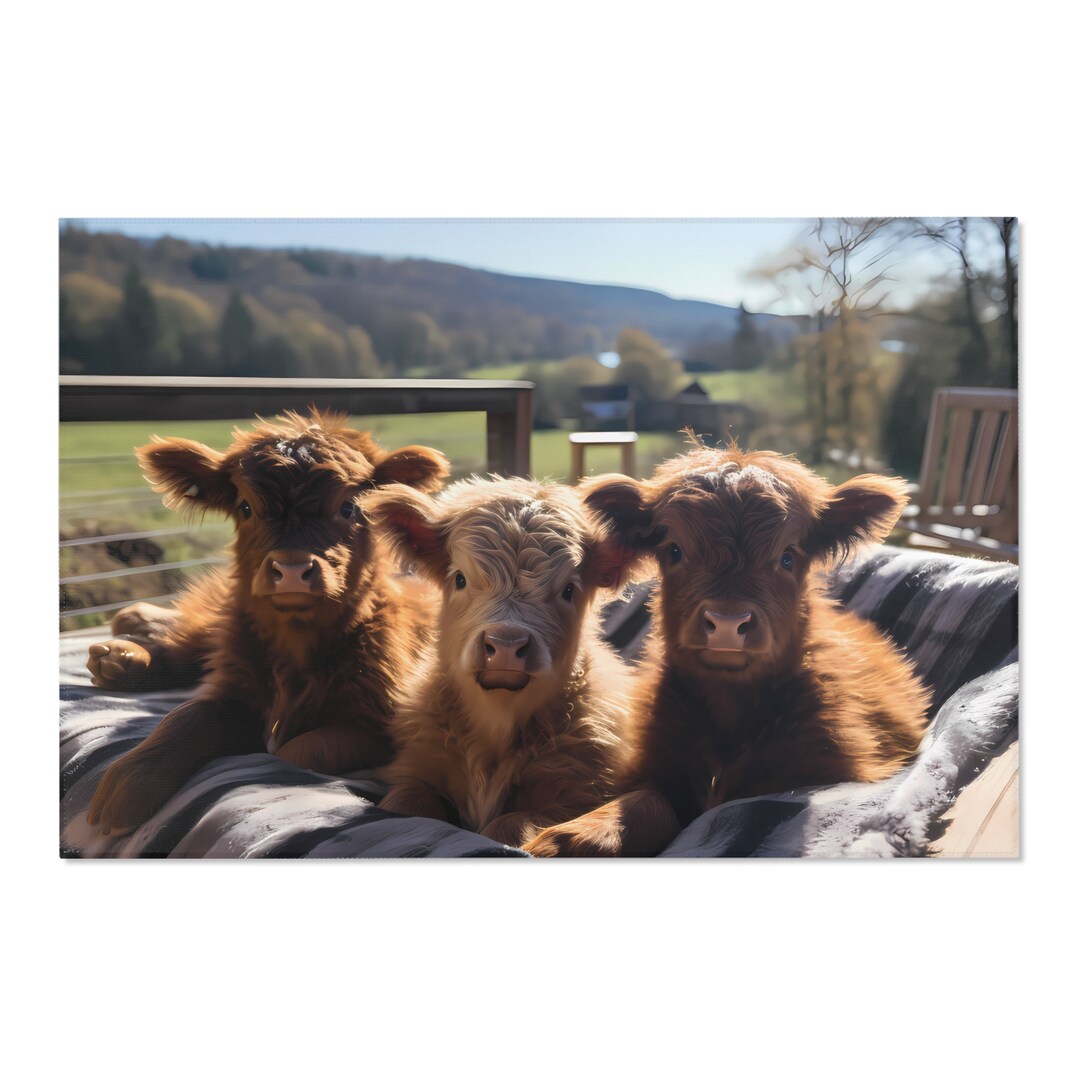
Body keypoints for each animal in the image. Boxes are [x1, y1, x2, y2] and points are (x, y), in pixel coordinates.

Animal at [85, 409, 450, 835]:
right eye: (245, 507)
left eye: (348, 508)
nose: (291, 570)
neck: (297, 651)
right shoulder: (236, 685)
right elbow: (188, 714)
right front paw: (128, 781)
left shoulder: (377, 725)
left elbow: (297, 753)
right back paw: (123, 648)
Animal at [362, 476, 655, 851]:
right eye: (460, 578)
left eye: (569, 590)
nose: (505, 645)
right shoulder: (416, 765)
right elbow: (404, 806)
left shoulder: (578, 791)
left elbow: (510, 826)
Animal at [525, 443, 932, 856]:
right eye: (674, 550)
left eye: (788, 555)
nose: (726, 623)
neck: (729, 711)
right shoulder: (651, 767)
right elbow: (649, 800)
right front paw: (564, 838)